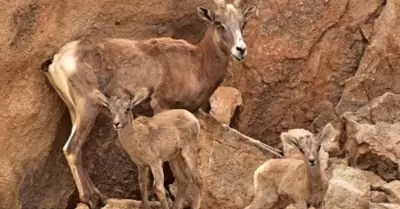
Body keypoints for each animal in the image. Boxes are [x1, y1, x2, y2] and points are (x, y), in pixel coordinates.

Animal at [39, 0, 272, 207]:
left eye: (243, 23)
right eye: (218, 22)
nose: (240, 49)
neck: (196, 65)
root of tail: (58, 59)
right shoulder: (162, 106)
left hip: (74, 110)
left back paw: (101, 197)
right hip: (88, 108)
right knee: (72, 148)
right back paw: (91, 199)